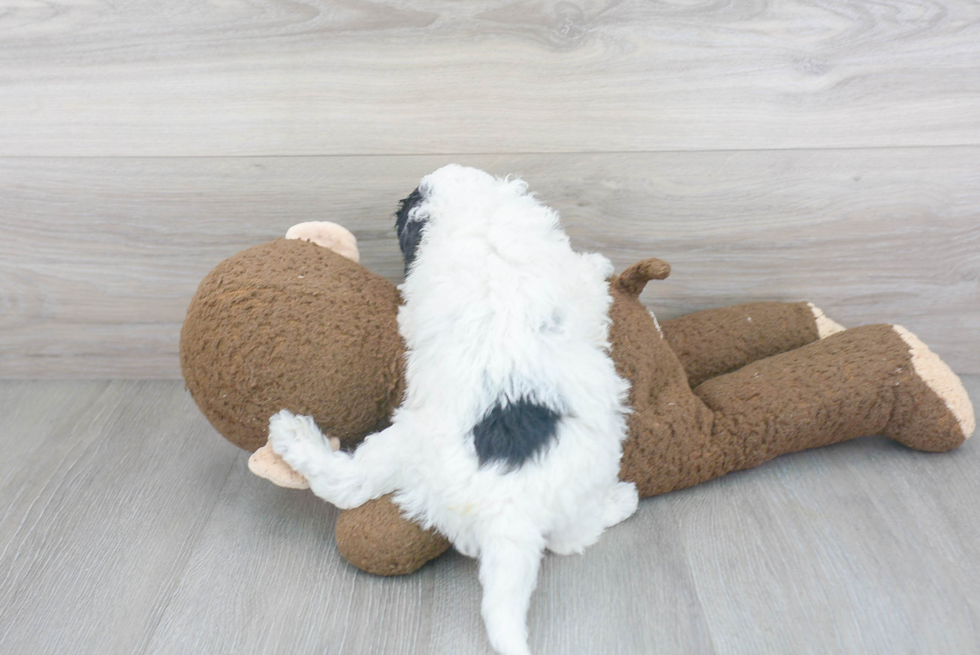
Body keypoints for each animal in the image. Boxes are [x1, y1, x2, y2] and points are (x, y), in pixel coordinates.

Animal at [270, 164, 636, 655]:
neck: (479, 221)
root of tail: (509, 508)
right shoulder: (573, 284)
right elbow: (590, 279)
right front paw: (600, 263)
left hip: (409, 445)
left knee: (349, 485)